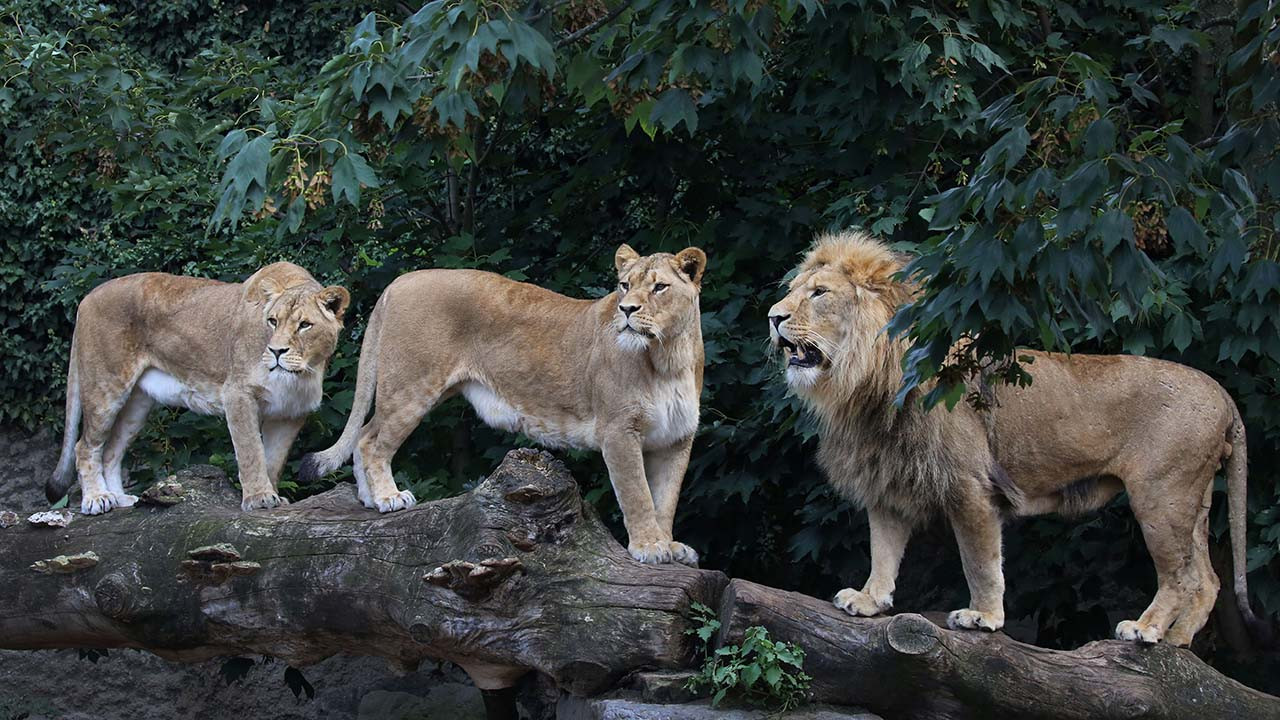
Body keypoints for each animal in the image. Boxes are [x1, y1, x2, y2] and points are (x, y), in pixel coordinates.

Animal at [48, 263, 350, 509]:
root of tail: (87, 297)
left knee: (111, 451)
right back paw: (97, 499)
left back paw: (121, 499)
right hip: (106, 388)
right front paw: (259, 498)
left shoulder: (291, 411)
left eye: (305, 325)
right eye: (272, 321)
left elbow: (273, 460)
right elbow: (251, 451)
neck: (302, 374)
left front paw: (274, 496)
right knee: (84, 447)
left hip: (137, 404)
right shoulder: (238, 394)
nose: (276, 351)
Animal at [299, 243, 706, 563]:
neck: (669, 356)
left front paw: (671, 547)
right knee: (371, 440)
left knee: (364, 432)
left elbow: (665, 499)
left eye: (659, 287)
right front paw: (649, 547)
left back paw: (369, 499)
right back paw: (388, 498)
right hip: (412, 386)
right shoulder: (619, 431)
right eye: (624, 286)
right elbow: (637, 494)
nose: (626, 309)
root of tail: (398, 282)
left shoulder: (676, 438)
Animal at [768, 230, 1259, 645]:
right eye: (795, 288)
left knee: (1181, 576)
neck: (866, 383)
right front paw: (870, 600)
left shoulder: (970, 486)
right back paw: (1177, 644)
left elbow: (980, 561)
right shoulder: (889, 478)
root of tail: (1224, 394)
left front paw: (982, 617)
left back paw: (1145, 629)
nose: (773, 317)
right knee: (1207, 579)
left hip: (1160, 496)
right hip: (1193, 501)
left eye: (819, 293)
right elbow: (883, 549)